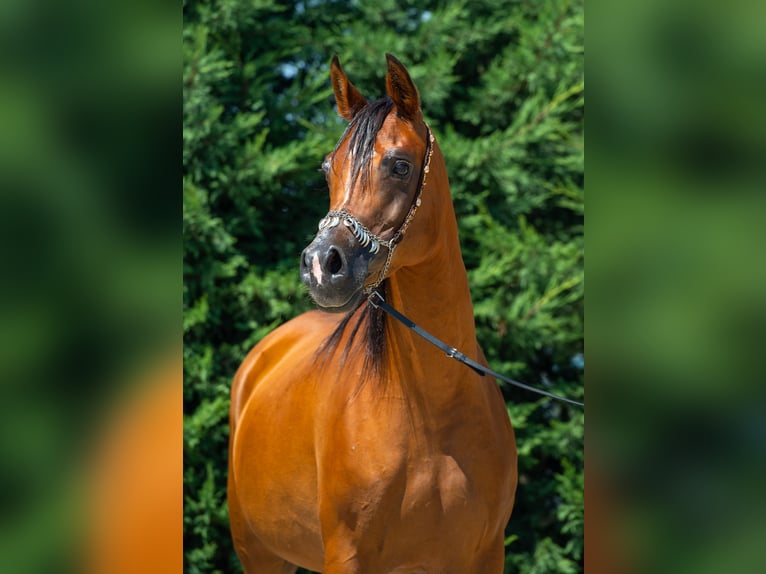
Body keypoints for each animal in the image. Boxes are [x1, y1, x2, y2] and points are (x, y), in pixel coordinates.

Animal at [228, 55, 516, 574]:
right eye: (329, 168)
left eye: (400, 165)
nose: (320, 265)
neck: (432, 416)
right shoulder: (348, 556)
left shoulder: (484, 556)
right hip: (259, 553)